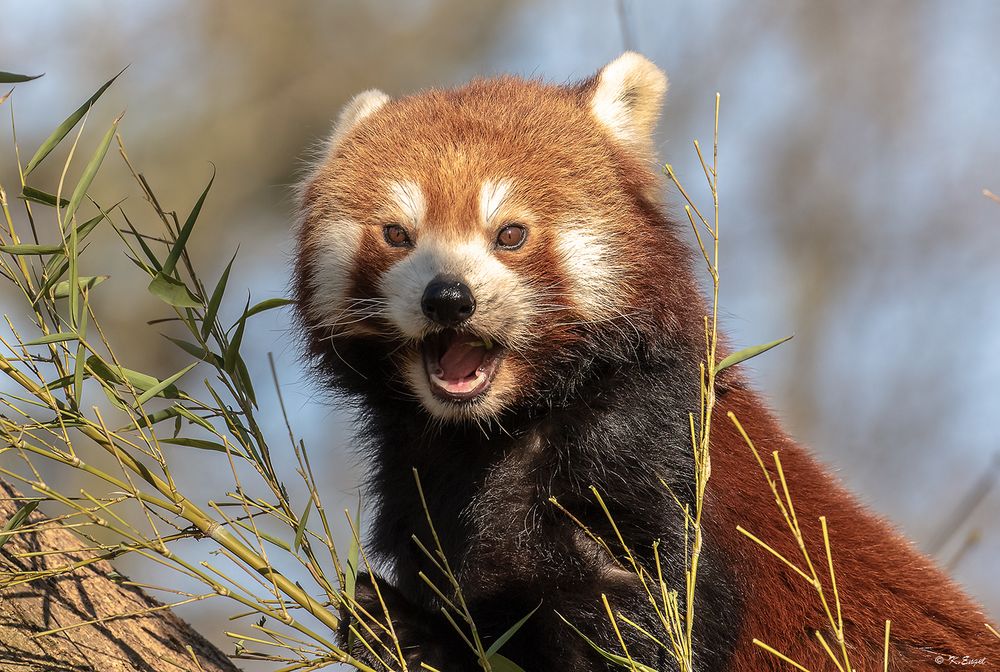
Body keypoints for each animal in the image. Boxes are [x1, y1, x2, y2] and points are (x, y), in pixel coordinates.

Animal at [292, 53, 996, 672]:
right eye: (397, 234)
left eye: (510, 234)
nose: (447, 297)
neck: (502, 430)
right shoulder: (422, 490)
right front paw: (397, 624)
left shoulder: (657, 453)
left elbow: (659, 625)